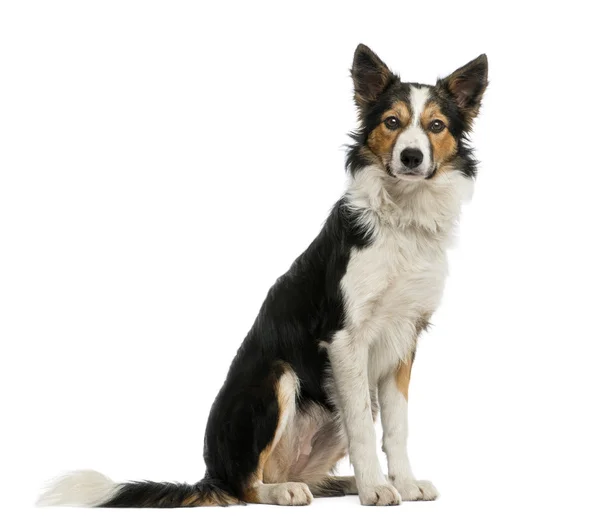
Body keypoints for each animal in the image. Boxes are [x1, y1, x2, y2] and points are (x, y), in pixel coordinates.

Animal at [37, 44, 488, 508]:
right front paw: (377, 489)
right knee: (248, 485)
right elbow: (364, 426)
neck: (402, 218)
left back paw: (336, 483)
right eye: (392, 122)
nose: (411, 157)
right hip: (277, 376)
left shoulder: (404, 337)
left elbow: (397, 428)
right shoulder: (345, 339)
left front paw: (403, 483)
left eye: (436, 126)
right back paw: (288, 489)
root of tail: (210, 475)